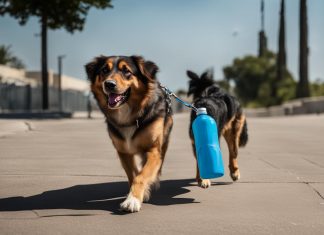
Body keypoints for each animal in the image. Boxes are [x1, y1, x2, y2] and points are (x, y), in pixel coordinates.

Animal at [85, 56, 173, 212]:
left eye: (126, 71)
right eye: (104, 70)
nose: (109, 84)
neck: (129, 116)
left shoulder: (153, 150)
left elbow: (141, 176)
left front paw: (133, 200)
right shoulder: (123, 152)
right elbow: (133, 175)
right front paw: (138, 195)